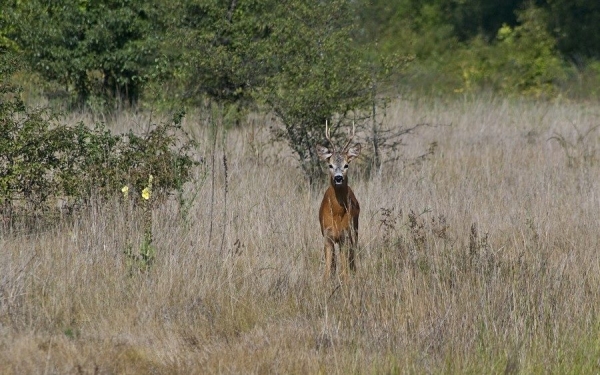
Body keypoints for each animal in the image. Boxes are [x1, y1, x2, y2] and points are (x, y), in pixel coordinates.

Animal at [318, 122, 360, 284]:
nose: (338, 178)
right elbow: (328, 268)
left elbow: (344, 268)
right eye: (330, 165)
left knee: (352, 256)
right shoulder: (327, 235)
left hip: (355, 229)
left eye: (346, 165)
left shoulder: (345, 235)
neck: (336, 213)